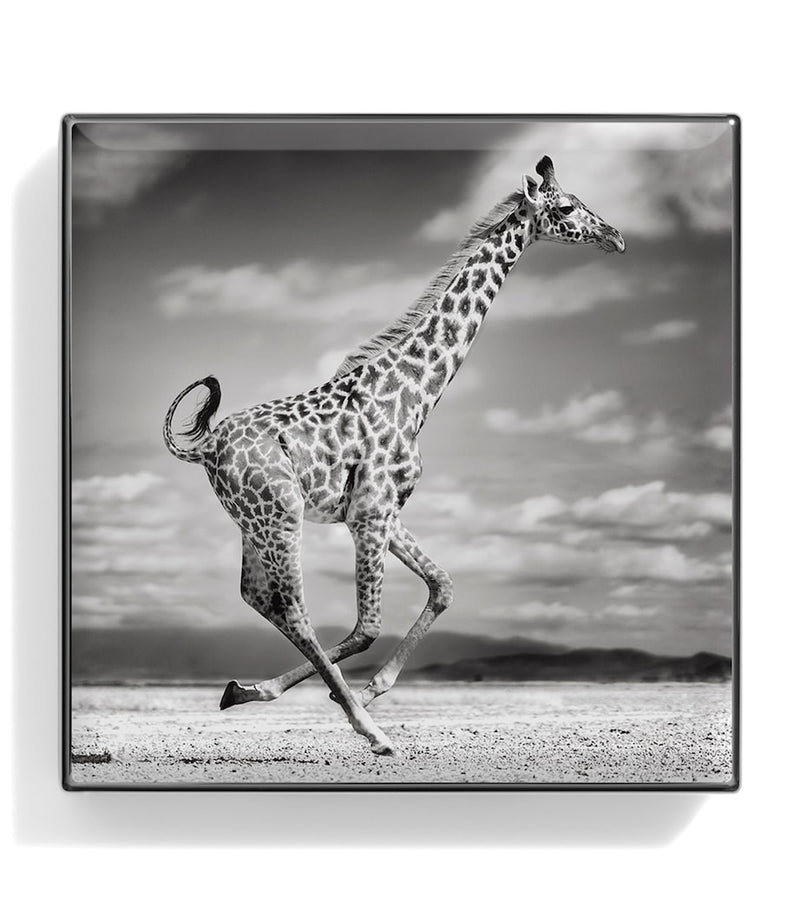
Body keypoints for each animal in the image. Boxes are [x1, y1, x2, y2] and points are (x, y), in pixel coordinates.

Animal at [163, 155, 625, 755]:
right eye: (566, 207)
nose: (616, 236)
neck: (418, 392)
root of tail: (206, 447)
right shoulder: (369, 514)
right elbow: (367, 627)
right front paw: (360, 703)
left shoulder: (384, 511)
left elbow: (443, 586)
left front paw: (364, 689)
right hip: (281, 515)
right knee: (293, 607)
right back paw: (371, 730)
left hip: (253, 521)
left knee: (257, 597)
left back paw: (246, 690)